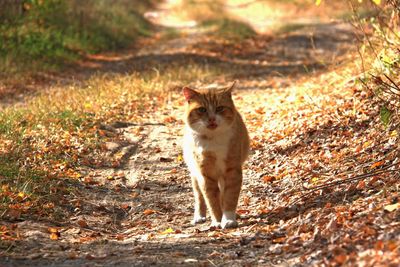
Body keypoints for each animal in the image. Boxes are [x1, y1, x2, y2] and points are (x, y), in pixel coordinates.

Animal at [182, 82, 250, 229]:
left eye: (219, 108)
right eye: (202, 110)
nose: (212, 118)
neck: (214, 141)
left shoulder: (232, 171)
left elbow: (230, 197)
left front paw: (228, 219)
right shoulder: (205, 175)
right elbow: (211, 200)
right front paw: (218, 221)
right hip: (195, 173)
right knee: (199, 196)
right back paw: (199, 216)